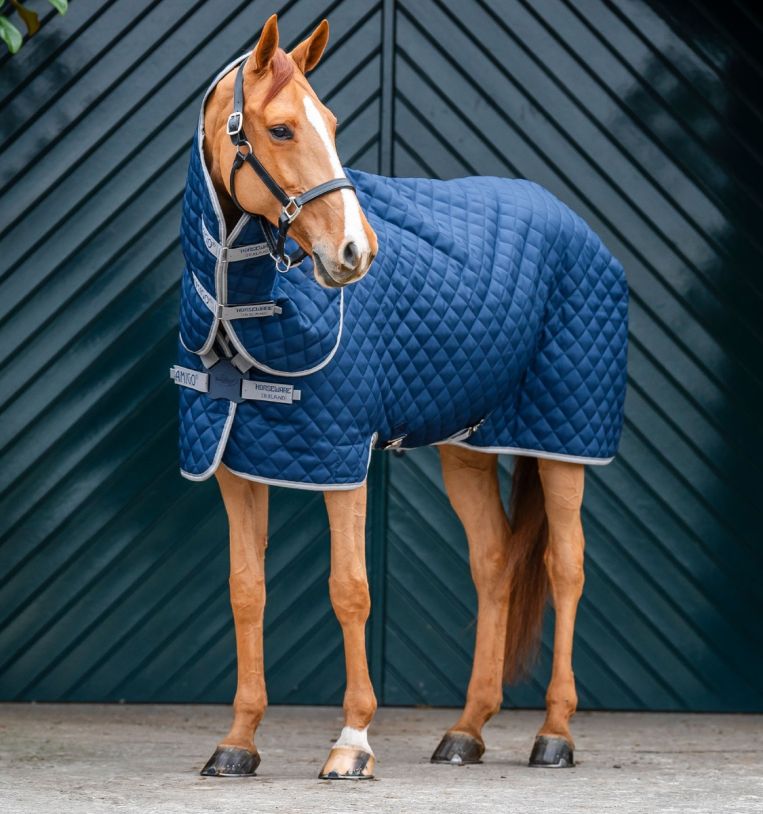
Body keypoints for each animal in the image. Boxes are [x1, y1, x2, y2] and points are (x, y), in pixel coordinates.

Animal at [172, 14, 628, 779]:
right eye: (281, 129)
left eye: (328, 122)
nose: (356, 253)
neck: (244, 308)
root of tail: (578, 228)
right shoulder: (237, 462)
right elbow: (246, 591)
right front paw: (236, 743)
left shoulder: (340, 458)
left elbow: (349, 590)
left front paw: (351, 741)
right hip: (468, 447)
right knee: (494, 564)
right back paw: (466, 732)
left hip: (563, 442)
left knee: (565, 566)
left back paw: (555, 734)